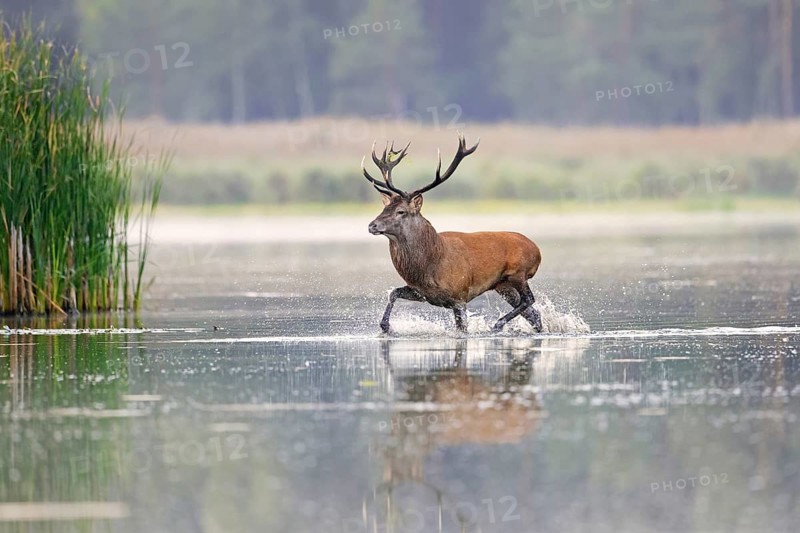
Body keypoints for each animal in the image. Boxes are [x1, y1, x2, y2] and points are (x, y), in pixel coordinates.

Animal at [362, 133, 543, 335]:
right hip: (503, 285)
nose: (372, 225)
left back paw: (497, 324)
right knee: (534, 314)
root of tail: (536, 249)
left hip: (519, 273)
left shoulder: (459, 296)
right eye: (384, 208)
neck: (428, 267)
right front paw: (385, 326)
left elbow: (461, 329)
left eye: (401, 211)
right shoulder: (421, 292)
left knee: (529, 300)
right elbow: (393, 293)